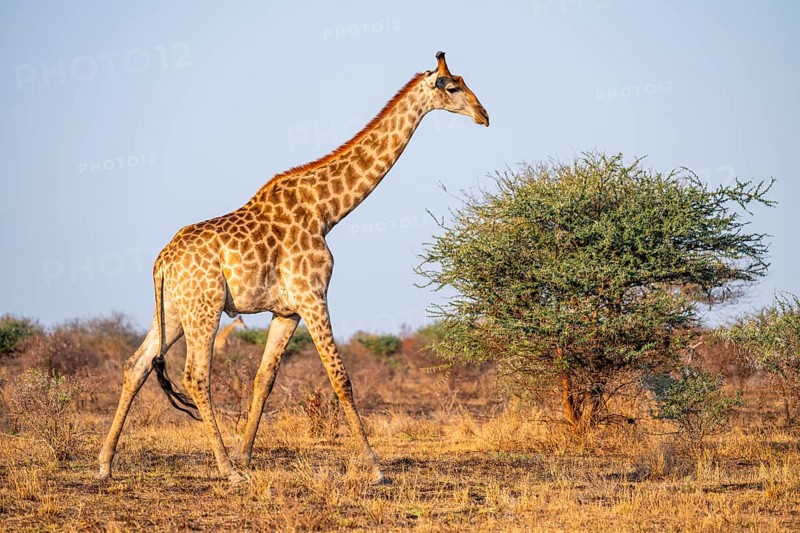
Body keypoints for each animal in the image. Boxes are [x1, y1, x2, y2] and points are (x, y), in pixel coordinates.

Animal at [97, 51, 489, 485]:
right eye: (452, 87)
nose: (484, 115)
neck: (326, 211)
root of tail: (161, 262)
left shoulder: (287, 311)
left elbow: (264, 378)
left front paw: (246, 455)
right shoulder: (312, 296)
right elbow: (340, 378)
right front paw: (375, 467)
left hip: (171, 310)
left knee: (137, 365)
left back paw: (106, 463)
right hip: (205, 307)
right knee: (195, 376)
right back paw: (225, 470)